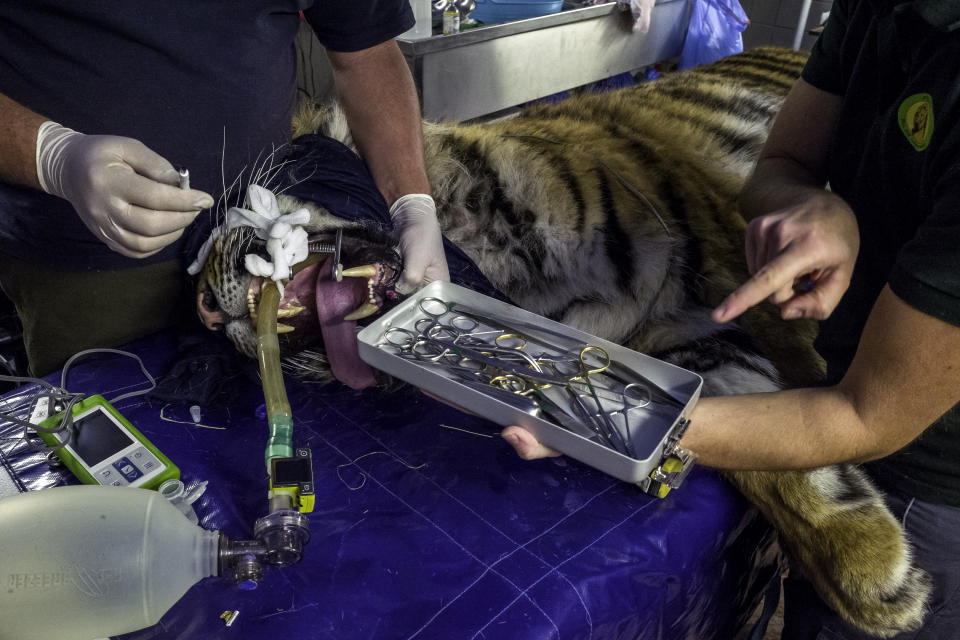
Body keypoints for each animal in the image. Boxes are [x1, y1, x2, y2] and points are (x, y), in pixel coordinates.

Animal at [193, 47, 928, 636]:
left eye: (240, 204)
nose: (201, 305)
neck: (492, 263)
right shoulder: (682, 331)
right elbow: (756, 426)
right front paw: (868, 554)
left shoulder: (721, 272)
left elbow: (794, 392)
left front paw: (866, 556)